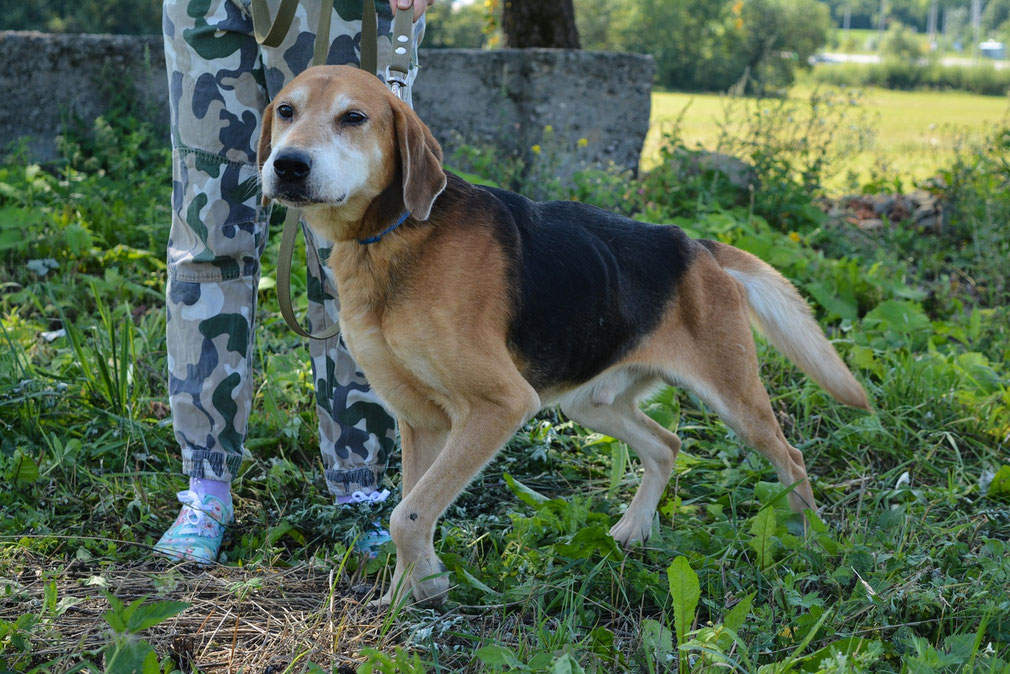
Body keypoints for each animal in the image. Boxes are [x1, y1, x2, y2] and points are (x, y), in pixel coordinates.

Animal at [256, 67, 872, 606]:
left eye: (354, 117)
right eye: (286, 111)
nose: (287, 165)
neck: (390, 237)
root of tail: (697, 246)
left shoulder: (498, 406)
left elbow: (405, 513)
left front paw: (423, 589)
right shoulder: (421, 419)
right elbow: (413, 508)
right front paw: (411, 592)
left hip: (735, 399)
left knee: (791, 458)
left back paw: (813, 543)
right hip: (590, 402)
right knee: (666, 446)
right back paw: (632, 530)